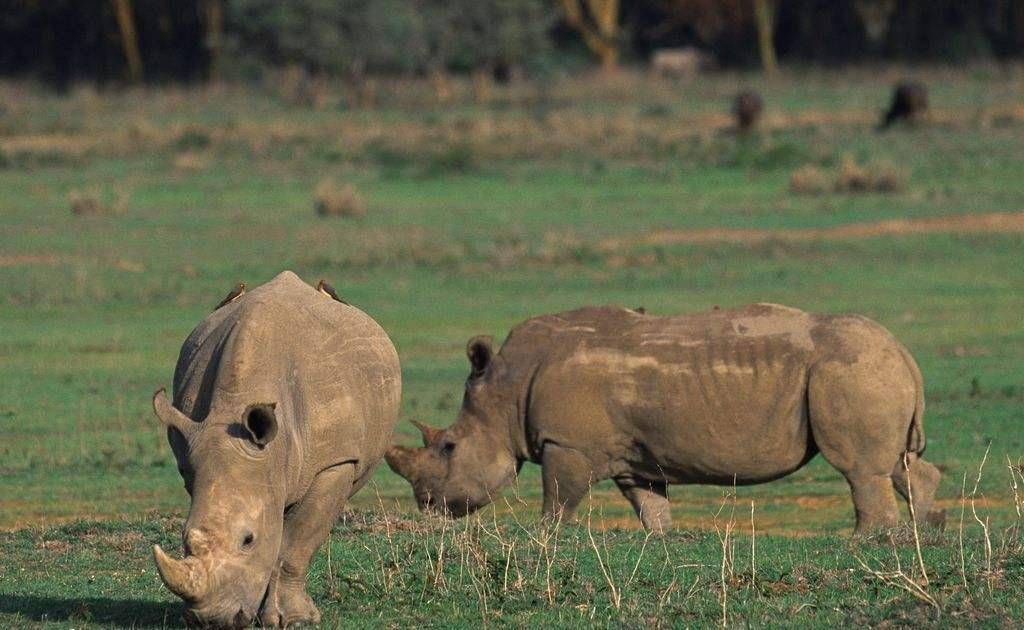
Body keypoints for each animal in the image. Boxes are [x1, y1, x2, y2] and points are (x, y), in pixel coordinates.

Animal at [151, 272, 399, 630]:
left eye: (248, 540)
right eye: (184, 539)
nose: (211, 621)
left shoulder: (335, 463)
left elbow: (295, 543)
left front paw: (294, 619)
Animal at [387, 303, 946, 536]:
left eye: (448, 447)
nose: (428, 506)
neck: (505, 388)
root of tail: (903, 351)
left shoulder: (566, 443)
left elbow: (559, 498)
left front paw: (543, 537)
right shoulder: (633, 455)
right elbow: (649, 504)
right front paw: (661, 539)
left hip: (850, 370)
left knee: (860, 468)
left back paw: (863, 542)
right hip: (868, 369)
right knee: (899, 462)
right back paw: (926, 529)